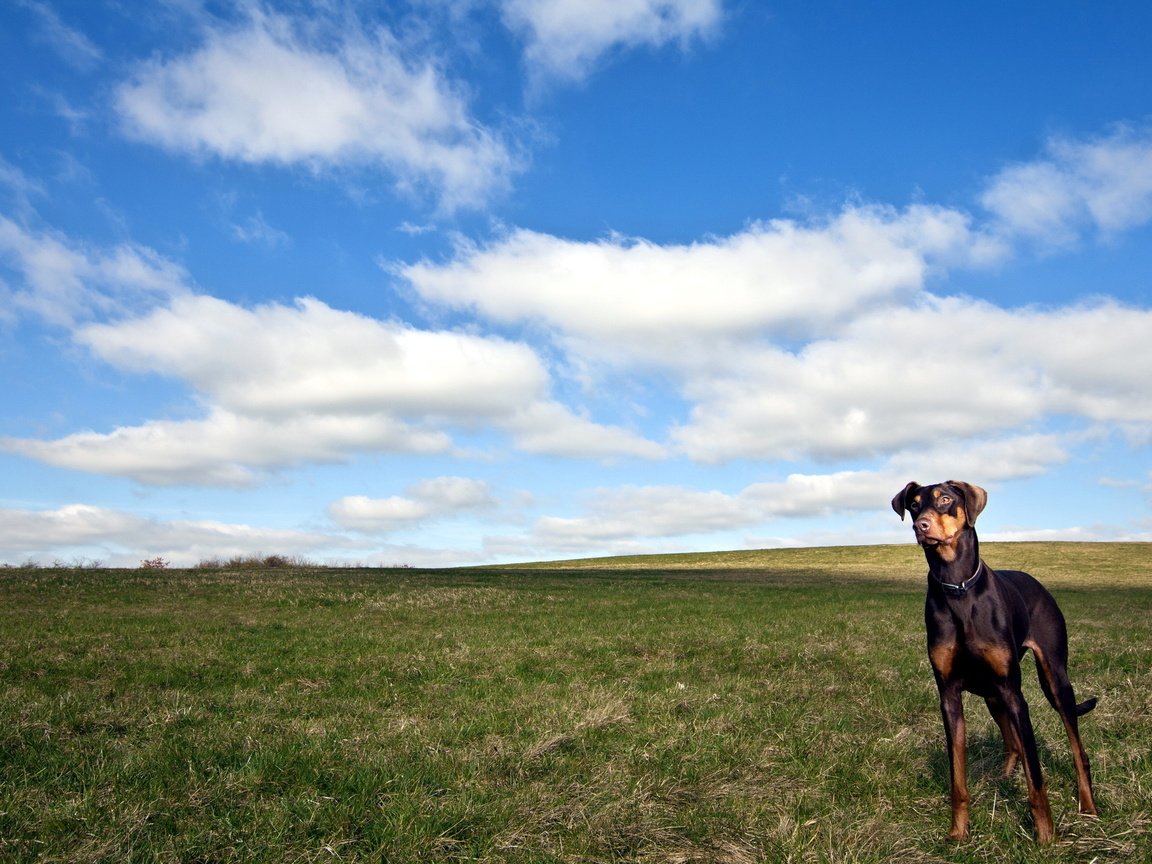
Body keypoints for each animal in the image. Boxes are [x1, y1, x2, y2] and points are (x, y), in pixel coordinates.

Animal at [889, 481, 1096, 847]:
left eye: (945, 499)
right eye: (914, 504)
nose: (921, 526)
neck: (957, 588)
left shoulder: (1015, 696)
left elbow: (1036, 778)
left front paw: (1045, 836)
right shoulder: (949, 696)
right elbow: (958, 779)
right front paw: (958, 832)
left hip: (1053, 680)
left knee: (1076, 750)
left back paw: (1088, 807)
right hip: (991, 693)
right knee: (1013, 744)